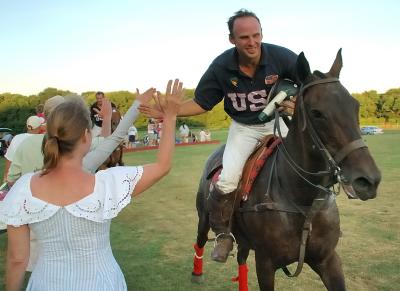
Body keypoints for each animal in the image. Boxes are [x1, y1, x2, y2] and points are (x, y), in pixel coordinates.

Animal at [191, 49, 382, 290]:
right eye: (317, 113)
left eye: (355, 106)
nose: (368, 181)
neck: (303, 200)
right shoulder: (265, 263)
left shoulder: (328, 259)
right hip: (203, 217)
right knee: (200, 240)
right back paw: (199, 270)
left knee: (241, 259)